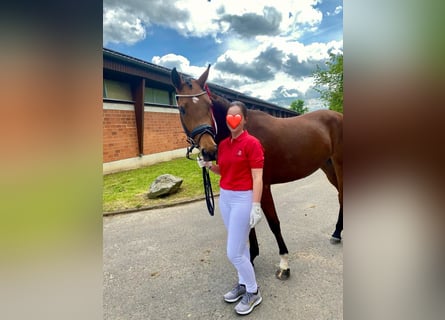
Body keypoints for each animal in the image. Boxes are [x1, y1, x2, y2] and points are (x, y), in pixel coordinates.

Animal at [172, 65, 342, 280]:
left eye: (208, 105)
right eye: (182, 108)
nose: (209, 151)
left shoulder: (264, 185)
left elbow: (273, 223)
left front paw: (284, 264)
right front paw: (251, 258)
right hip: (328, 167)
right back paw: (337, 232)